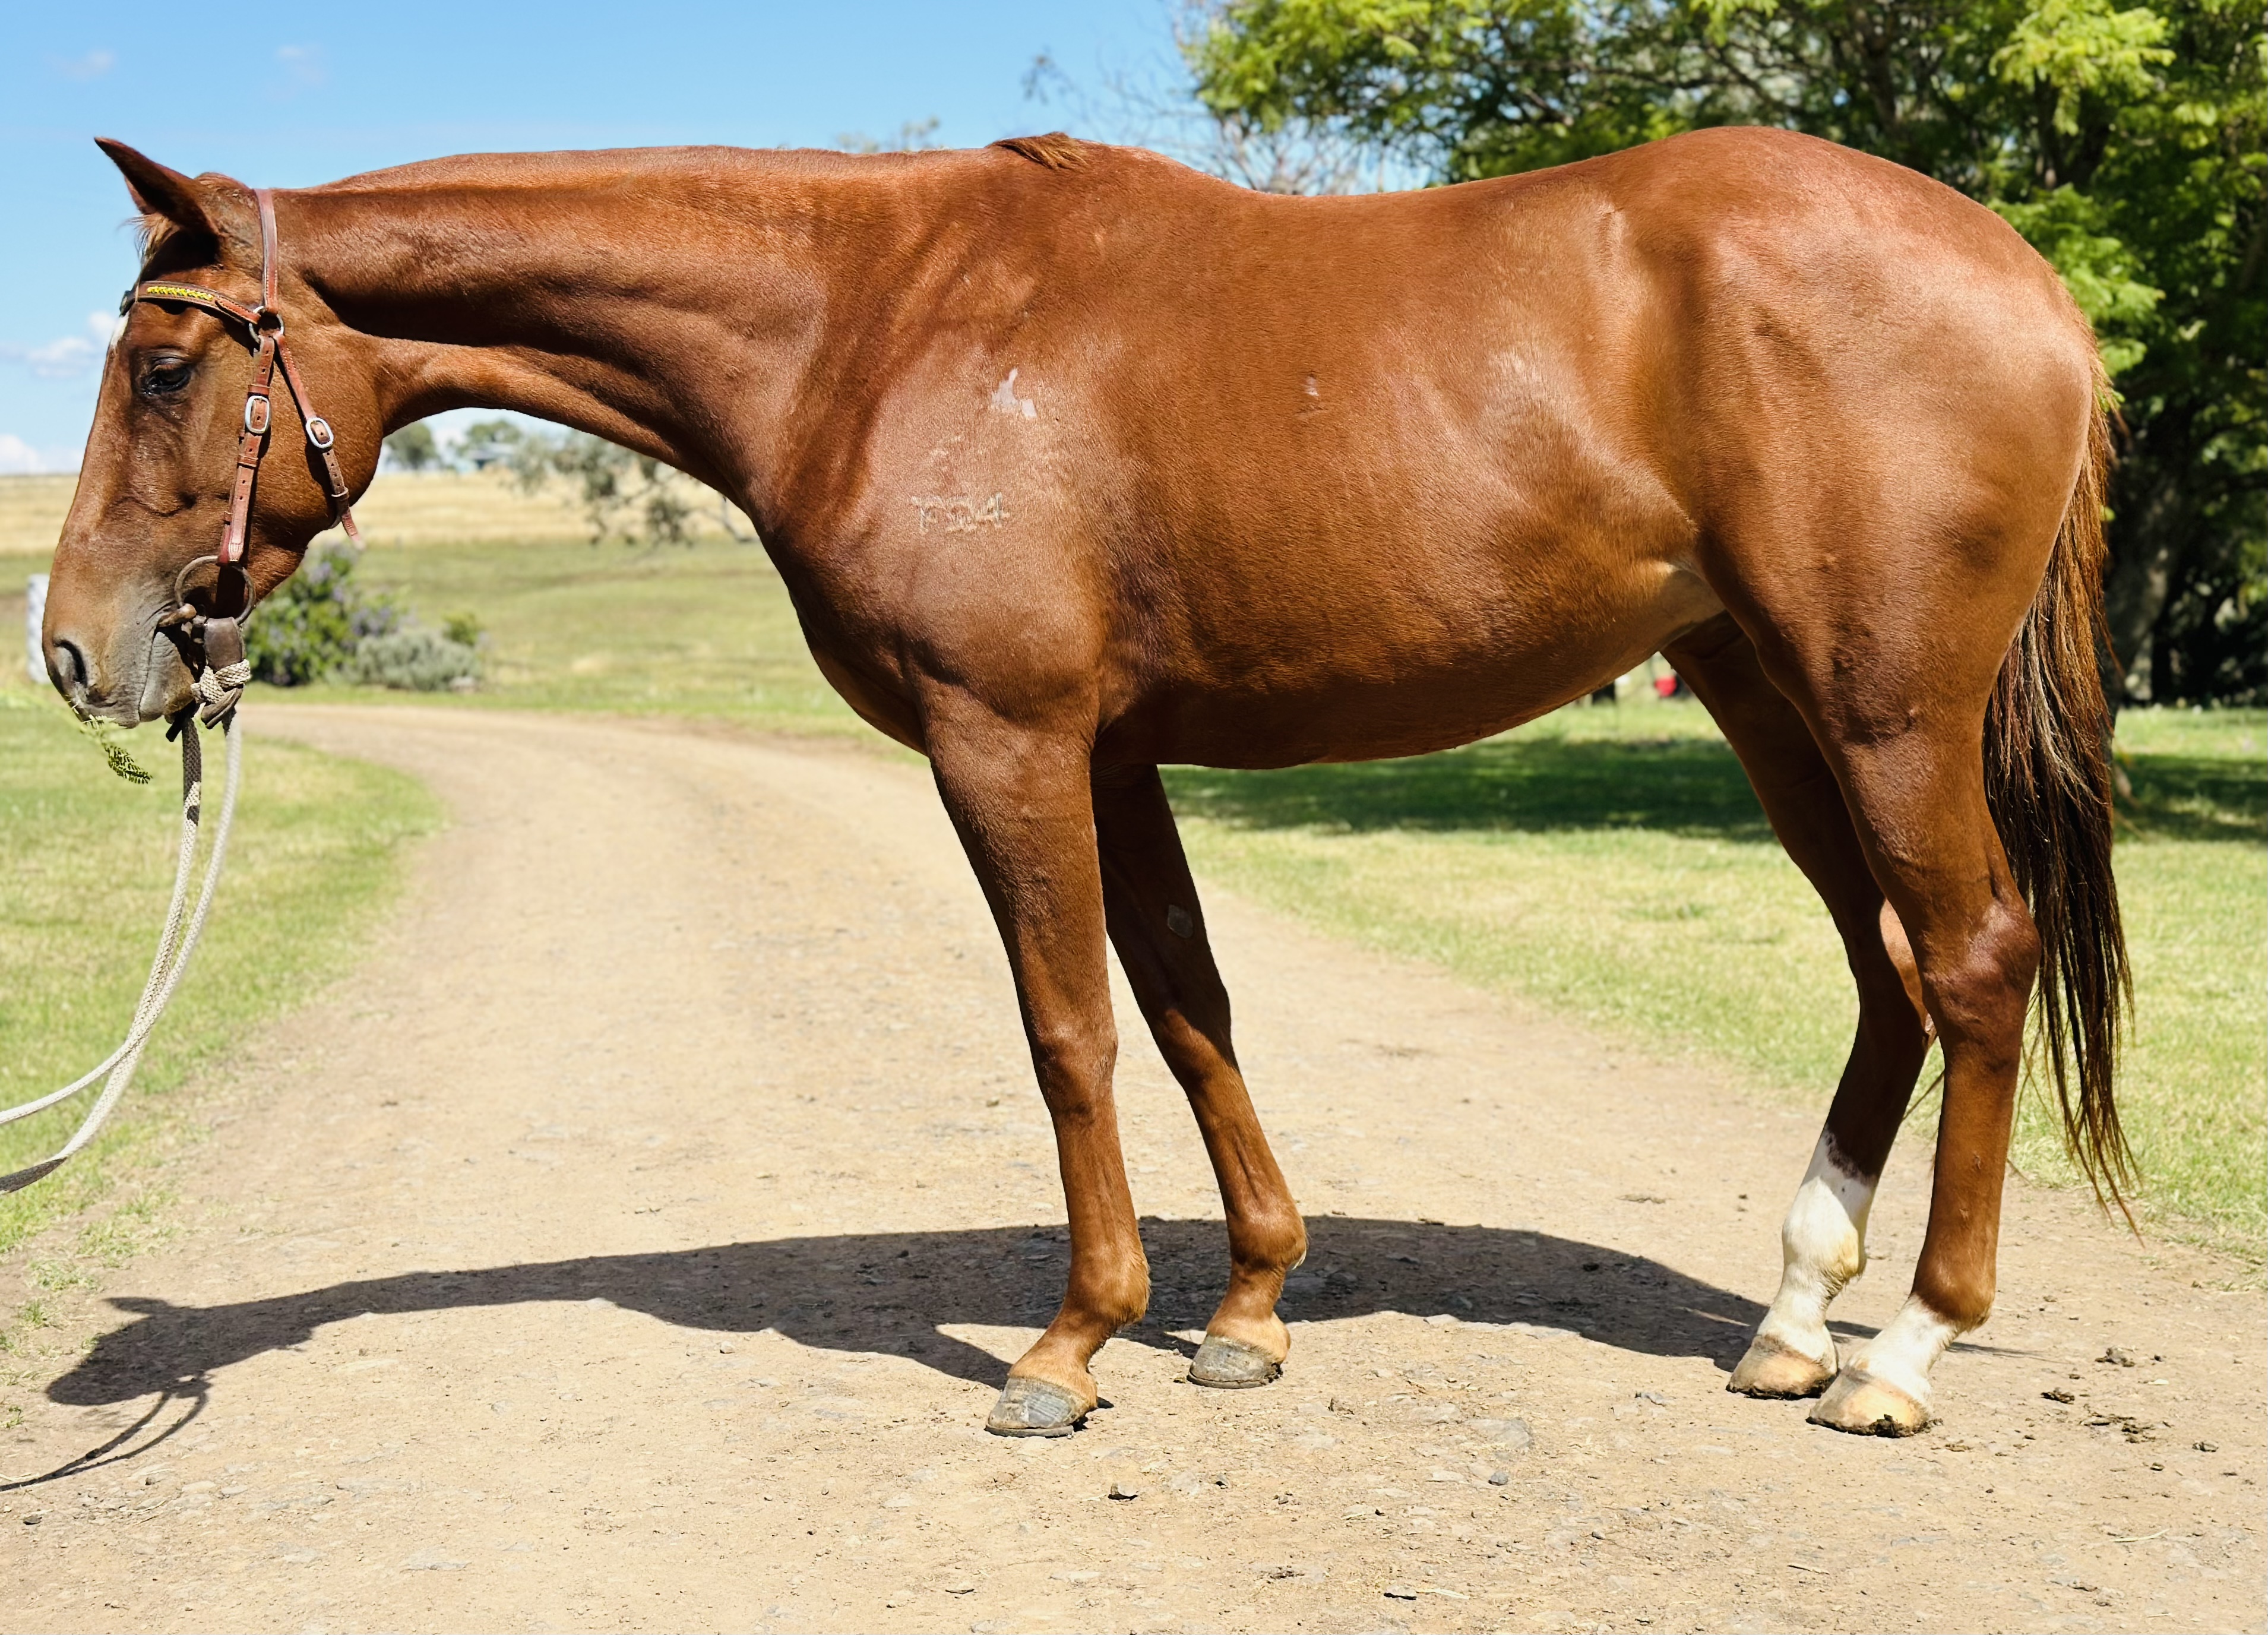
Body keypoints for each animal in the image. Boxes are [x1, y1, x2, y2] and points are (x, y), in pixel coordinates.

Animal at [42, 126, 2127, 1439]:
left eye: (162, 366)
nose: (73, 651)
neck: (867, 320)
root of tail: (2026, 277)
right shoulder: (1116, 750)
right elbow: (1190, 1005)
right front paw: (1249, 1309)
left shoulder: (1010, 739)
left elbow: (1068, 1029)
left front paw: (1070, 1340)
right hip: (1772, 704)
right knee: (1885, 974)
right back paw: (1790, 1318)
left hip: (1880, 710)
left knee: (1971, 958)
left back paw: (1904, 1349)